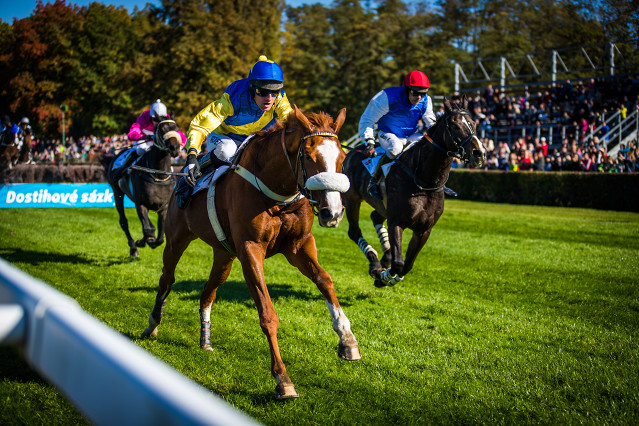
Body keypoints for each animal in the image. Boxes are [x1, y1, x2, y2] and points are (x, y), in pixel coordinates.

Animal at [101, 120, 182, 258]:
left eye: (176, 129)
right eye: (161, 129)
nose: (175, 148)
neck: (158, 175)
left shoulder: (163, 208)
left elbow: (160, 236)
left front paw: (149, 241)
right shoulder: (141, 203)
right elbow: (149, 228)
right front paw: (142, 242)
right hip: (117, 192)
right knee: (124, 222)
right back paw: (133, 248)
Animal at [142, 106, 360, 400]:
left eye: (342, 158)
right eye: (308, 156)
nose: (333, 213)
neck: (277, 193)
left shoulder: (299, 244)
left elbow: (325, 280)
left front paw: (347, 340)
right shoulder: (250, 249)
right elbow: (267, 313)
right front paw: (283, 379)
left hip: (224, 255)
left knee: (208, 292)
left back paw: (205, 340)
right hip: (177, 239)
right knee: (167, 279)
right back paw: (153, 323)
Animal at [344, 97, 484, 286]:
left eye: (474, 124)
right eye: (455, 126)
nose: (479, 153)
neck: (424, 182)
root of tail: (352, 151)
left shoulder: (424, 229)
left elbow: (407, 265)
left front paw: (388, 273)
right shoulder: (396, 222)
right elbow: (398, 263)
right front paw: (383, 277)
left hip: (382, 207)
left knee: (375, 217)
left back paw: (384, 257)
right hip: (352, 199)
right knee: (354, 231)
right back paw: (375, 262)